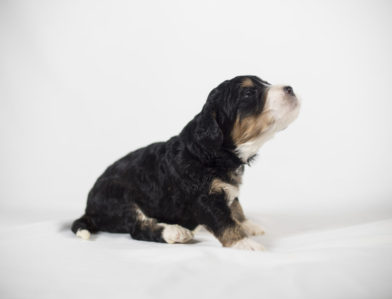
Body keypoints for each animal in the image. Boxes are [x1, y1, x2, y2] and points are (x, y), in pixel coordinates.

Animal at [72, 75, 300, 251]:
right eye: (248, 93)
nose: (290, 89)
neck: (211, 151)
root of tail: (89, 210)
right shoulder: (205, 198)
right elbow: (224, 221)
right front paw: (244, 243)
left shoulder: (226, 189)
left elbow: (235, 206)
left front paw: (248, 225)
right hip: (119, 198)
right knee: (138, 228)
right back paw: (175, 232)